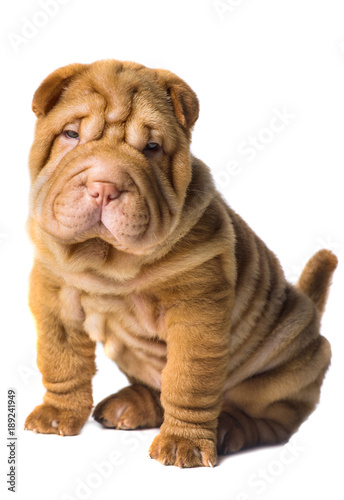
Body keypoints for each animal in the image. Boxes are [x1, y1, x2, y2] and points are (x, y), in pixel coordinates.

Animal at [25, 59, 338, 468]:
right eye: (71, 134)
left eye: (152, 147)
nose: (104, 187)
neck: (107, 263)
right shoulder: (54, 298)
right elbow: (62, 361)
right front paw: (56, 415)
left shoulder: (196, 311)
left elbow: (188, 380)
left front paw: (182, 444)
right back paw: (130, 406)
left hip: (283, 373)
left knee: (271, 419)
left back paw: (230, 428)